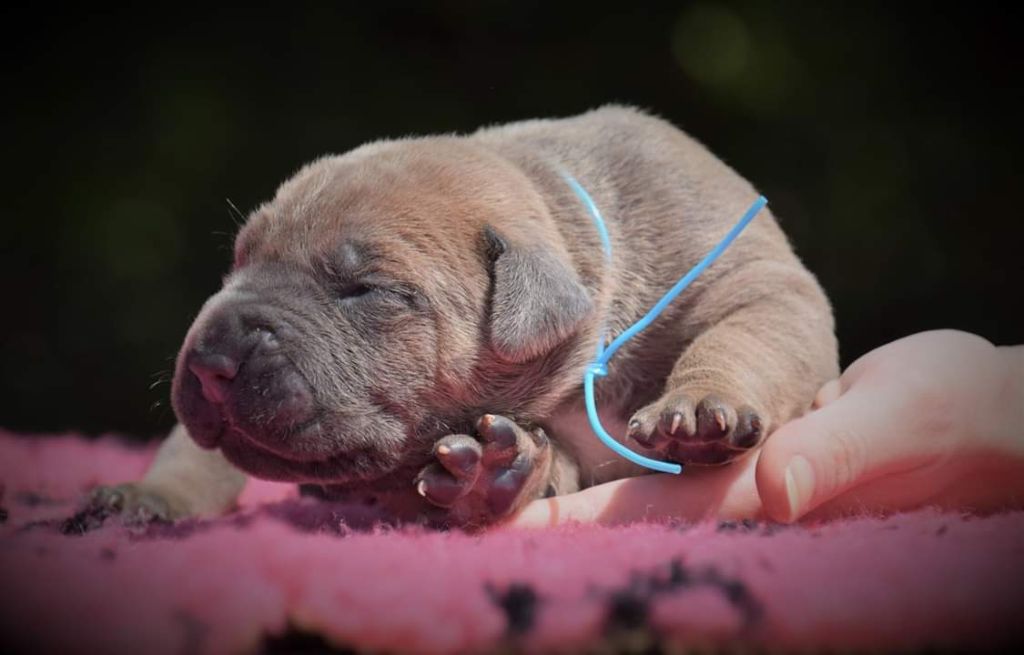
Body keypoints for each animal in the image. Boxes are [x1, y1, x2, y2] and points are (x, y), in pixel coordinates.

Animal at [90, 106, 839, 528]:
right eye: (238, 261)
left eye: (364, 289)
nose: (210, 359)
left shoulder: (749, 276)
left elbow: (748, 329)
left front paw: (702, 407)